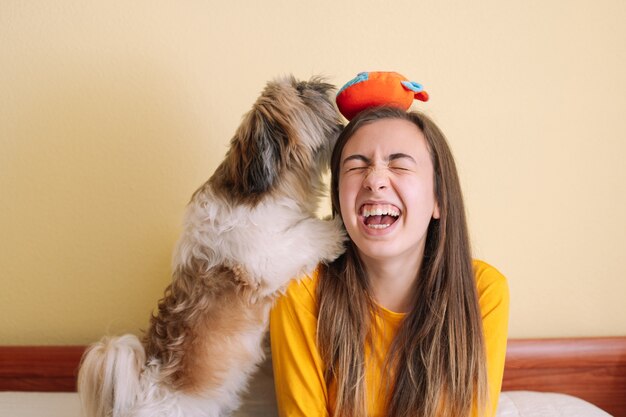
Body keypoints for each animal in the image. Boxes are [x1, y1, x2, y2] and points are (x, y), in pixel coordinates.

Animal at [78, 75, 346, 416]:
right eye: (300, 91)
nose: (320, 84)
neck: (264, 192)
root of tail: (139, 389)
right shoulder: (265, 258)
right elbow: (306, 234)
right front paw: (336, 229)